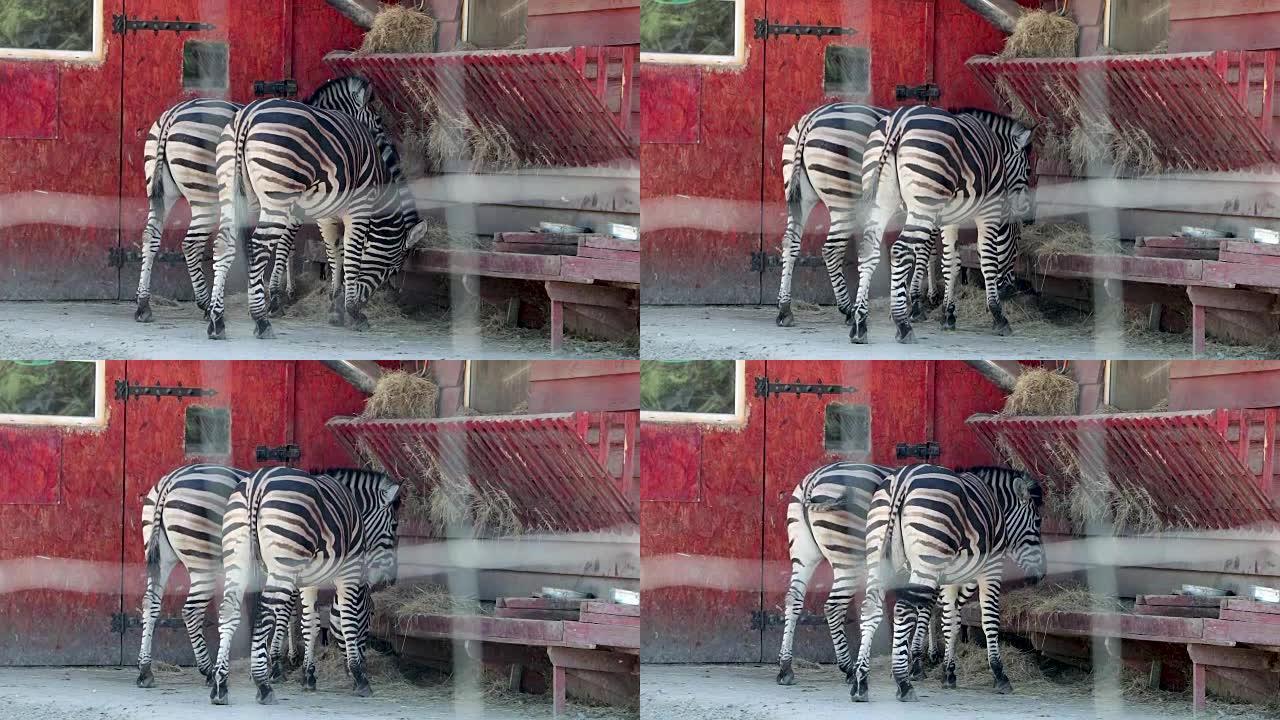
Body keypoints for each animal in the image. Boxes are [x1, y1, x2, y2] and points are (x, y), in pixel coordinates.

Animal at [138, 77, 384, 322]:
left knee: (151, 236)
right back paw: (205, 304)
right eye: (379, 123)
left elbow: (274, 246)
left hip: (161, 191)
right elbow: (284, 246)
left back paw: (144, 304)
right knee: (191, 245)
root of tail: (171, 116)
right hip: (205, 195)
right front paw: (276, 296)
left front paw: (273, 292)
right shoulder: (291, 206)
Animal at [207, 89, 427, 338]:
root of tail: (246, 116)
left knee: (223, 245)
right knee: (258, 248)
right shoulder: (359, 208)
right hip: (277, 197)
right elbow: (351, 256)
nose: (364, 302)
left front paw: (336, 306)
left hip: (230, 192)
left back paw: (217, 321)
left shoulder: (326, 215)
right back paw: (260, 320)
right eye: (392, 269)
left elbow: (334, 252)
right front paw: (352, 311)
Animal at [209, 461, 399, 702]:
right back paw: (262, 684)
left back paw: (220, 684)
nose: (390, 575)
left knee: (229, 611)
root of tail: (256, 484)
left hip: (238, 561)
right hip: (283, 565)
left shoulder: (310, 579)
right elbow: (346, 620)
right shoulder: (350, 570)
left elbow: (310, 622)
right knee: (264, 613)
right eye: (394, 526)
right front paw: (358, 676)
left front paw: (308, 675)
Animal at [844, 458, 1044, 702]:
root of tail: (903, 479)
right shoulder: (991, 568)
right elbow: (989, 620)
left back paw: (861, 682)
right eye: (1037, 522)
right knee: (903, 610)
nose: (1040, 575)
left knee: (872, 610)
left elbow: (951, 620)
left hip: (879, 556)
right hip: (927, 561)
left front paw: (948, 672)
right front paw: (999, 674)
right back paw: (903, 682)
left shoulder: (950, 577)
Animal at [855, 105, 1034, 343]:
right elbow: (988, 260)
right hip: (923, 204)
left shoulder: (950, 218)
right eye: (1027, 170)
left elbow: (951, 262)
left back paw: (859, 324)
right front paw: (998, 315)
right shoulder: (990, 209)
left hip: (882, 201)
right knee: (900, 250)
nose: (1028, 211)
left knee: (869, 251)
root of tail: (898, 121)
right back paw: (902, 324)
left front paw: (948, 314)